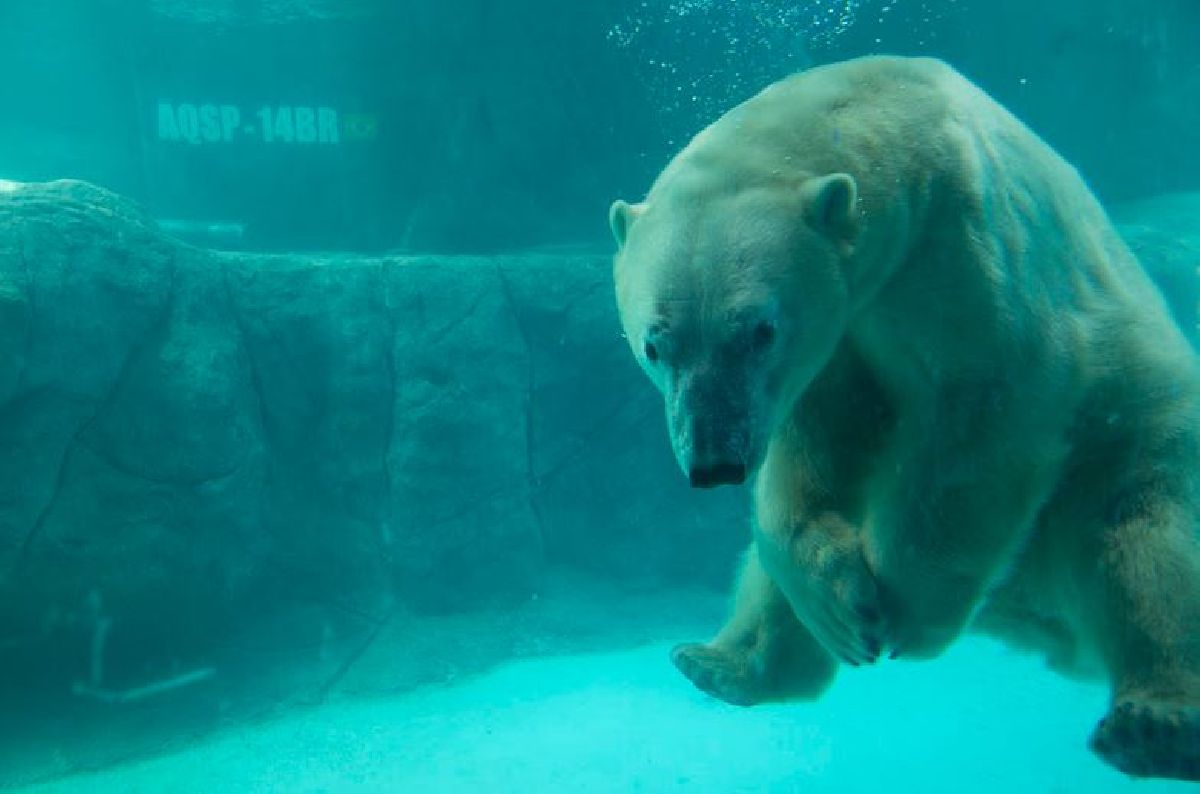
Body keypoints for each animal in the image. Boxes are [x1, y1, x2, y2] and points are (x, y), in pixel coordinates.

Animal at [609, 57, 1200, 782]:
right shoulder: (837, 342)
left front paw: (906, 614)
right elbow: (814, 454)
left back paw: (1153, 723)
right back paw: (720, 663)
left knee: (1138, 547)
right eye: (654, 345)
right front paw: (844, 605)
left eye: (758, 331)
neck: (896, 117)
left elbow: (982, 419)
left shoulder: (965, 255)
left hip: (1131, 433)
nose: (714, 462)